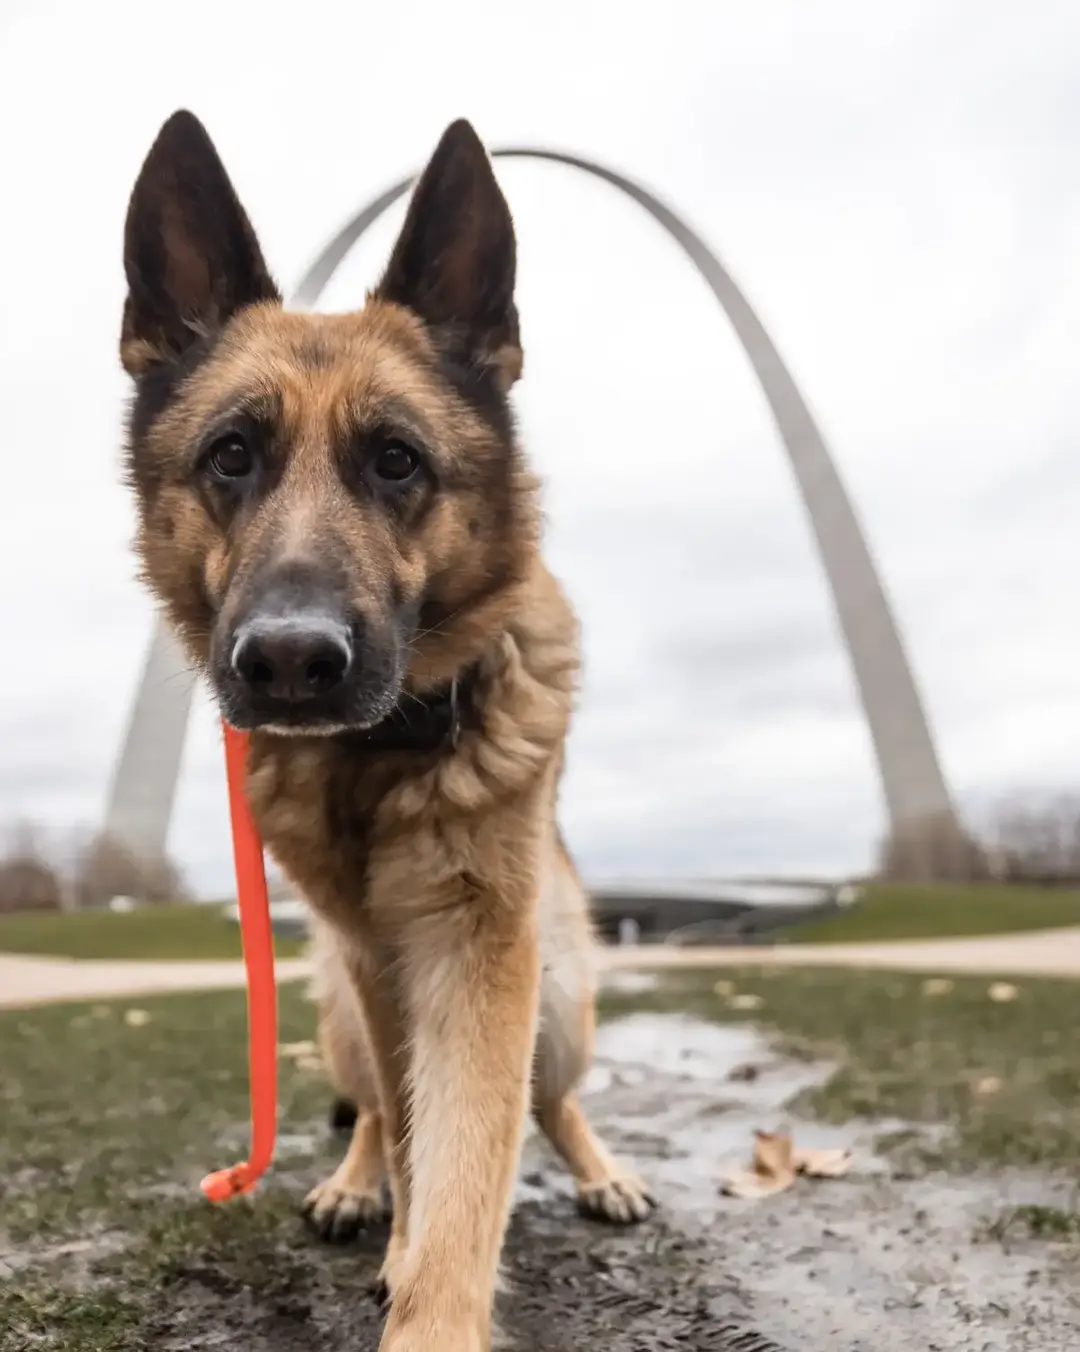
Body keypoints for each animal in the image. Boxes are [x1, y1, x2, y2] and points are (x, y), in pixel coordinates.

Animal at [122, 116, 654, 1352]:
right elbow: (420, 1144)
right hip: (341, 999)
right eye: (231, 455)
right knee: (372, 1112)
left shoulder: (480, 951)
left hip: (561, 992)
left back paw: (600, 1170)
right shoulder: (382, 959)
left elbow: (471, 1161)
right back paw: (356, 1186)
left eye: (397, 459)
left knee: (552, 1100)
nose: (289, 661)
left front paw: (434, 1299)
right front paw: (399, 1228)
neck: (381, 760)